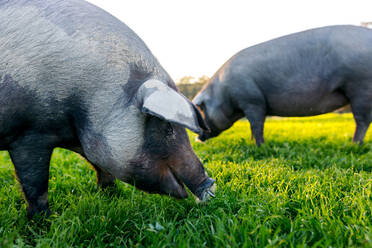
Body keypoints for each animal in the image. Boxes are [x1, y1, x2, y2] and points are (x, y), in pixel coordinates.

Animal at [0, 0, 215, 217]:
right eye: (168, 127)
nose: (210, 183)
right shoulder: (29, 134)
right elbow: (35, 185)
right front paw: (44, 219)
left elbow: (101, 167)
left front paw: (110, 196)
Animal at [193, 25, 372, 145]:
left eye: (201, 109)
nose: (196, 138)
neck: (223, 92)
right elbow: (254, 126)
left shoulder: (252, 100)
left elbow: (256, 124)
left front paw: (259, 146)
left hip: (360, 86)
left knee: (362, 120)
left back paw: (353, 144)